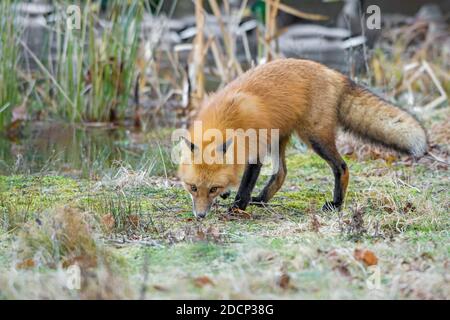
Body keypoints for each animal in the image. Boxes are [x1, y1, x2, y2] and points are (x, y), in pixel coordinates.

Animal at [178, 58, 428, 218]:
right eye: (193, 187)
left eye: (212, 189)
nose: (200, 216)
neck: (227, 118)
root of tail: (332, 72)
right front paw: (231, 194)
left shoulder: (255, 149)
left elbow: (246, 185)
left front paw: (238, 207)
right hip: (278, 138)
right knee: (281, 173)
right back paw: (262, 199)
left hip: (314, 137)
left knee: (342, 167)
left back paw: (336, 204)